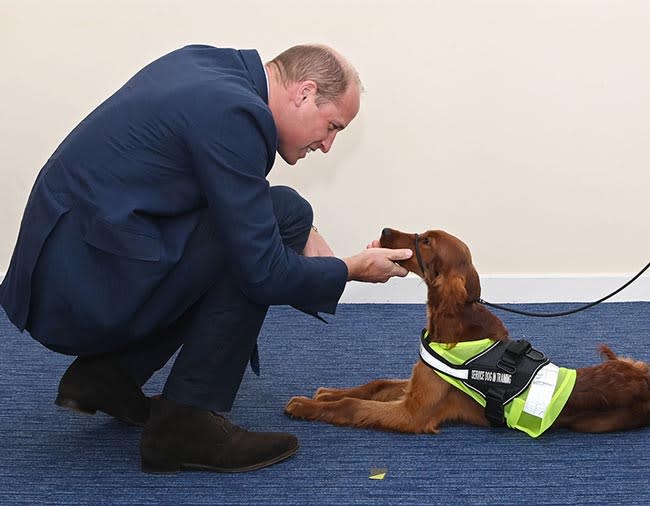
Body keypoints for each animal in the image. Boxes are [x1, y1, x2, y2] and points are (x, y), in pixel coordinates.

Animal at [286, 228, 648, 434]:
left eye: (426, 241)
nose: (385, 229)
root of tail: (642, 378)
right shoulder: (417, 383)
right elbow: (376, 384)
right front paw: (328, 393)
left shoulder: (413, 414)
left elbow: (353, 406)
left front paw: (305, 406)